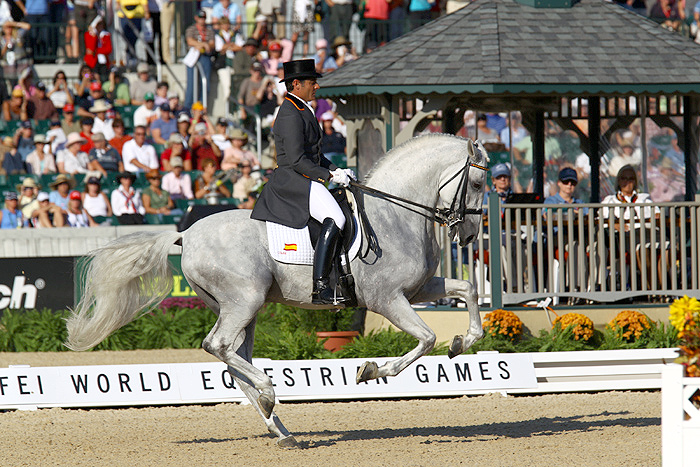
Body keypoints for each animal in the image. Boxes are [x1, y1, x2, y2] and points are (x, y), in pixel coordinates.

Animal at [65, 134, 490, 448]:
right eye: (479, 182)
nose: (469, 235)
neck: (395, 216)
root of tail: (185, 233)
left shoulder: (417, 290)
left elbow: (467, 289)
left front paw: (463, 343)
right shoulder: (388, 299)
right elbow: (426, 338)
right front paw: (371, 371)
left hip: (242, 308)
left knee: (235, 360)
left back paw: (279, 428)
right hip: (244, 300)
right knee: (218, 347)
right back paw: (270, 396)